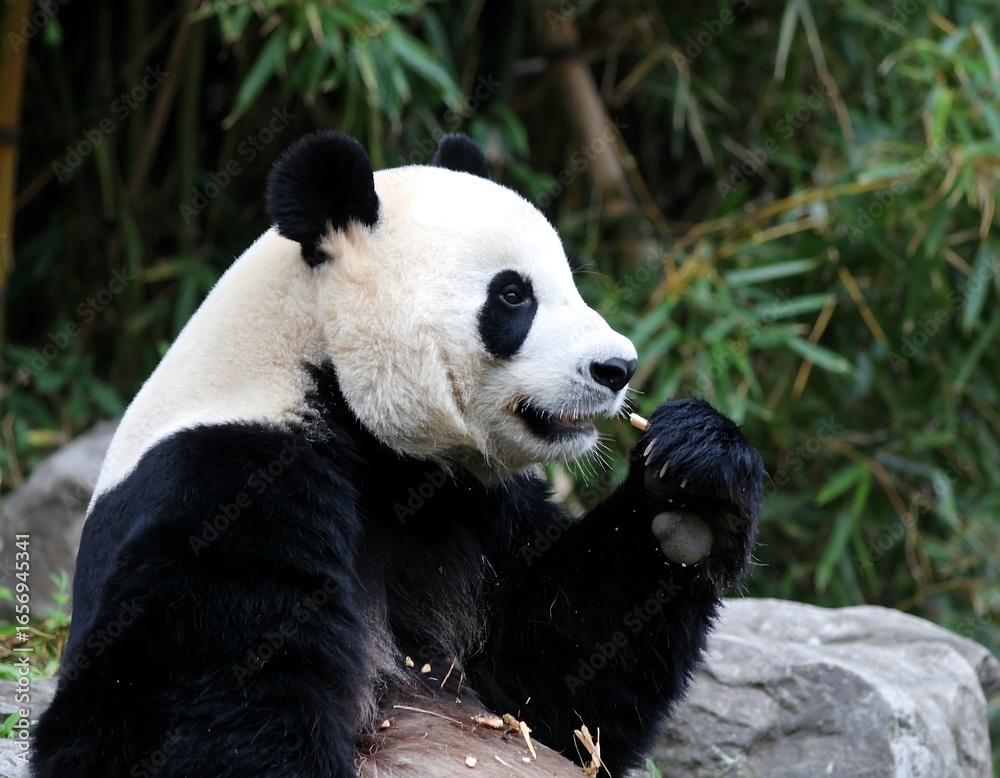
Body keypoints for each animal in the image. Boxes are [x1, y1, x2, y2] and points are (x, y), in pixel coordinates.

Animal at [32, 131, 763, 778]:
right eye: (513, 295)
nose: (617, 367)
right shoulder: (224, 481)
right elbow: (186, 706)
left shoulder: (471, 504)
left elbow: (558, 683)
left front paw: (692, 488)